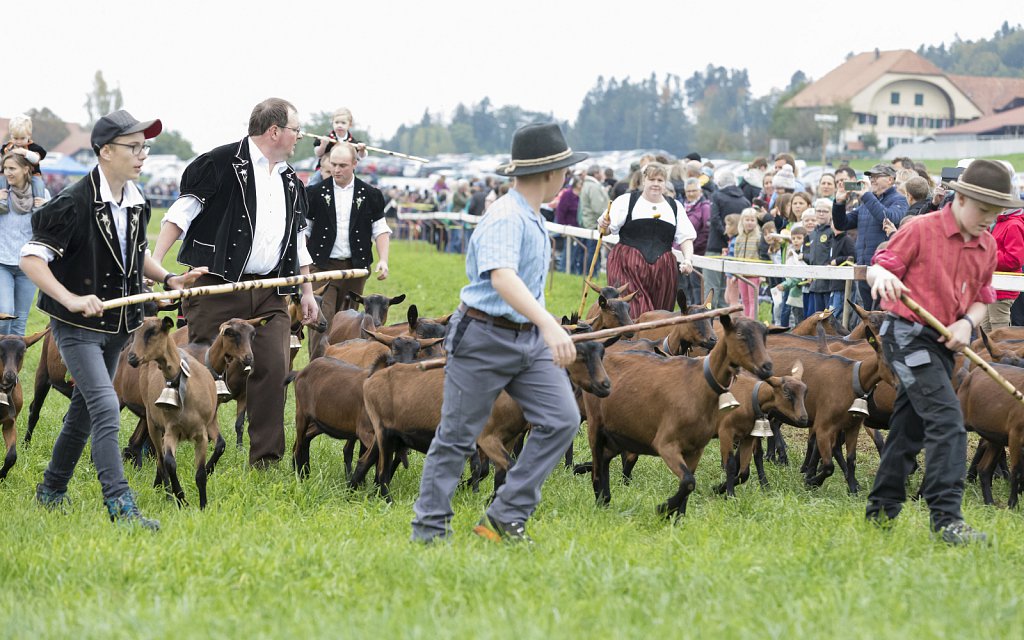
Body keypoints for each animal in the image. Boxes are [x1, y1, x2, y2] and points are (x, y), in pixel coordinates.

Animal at [0, 329, 49, 479]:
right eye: (0, 350)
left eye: (23, 351)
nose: (10, 376)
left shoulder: (10, 422)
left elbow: (12, 456)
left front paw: (2, 476)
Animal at [126, 317, 223, 505]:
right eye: (134, 333)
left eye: (152, 331)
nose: (132, 358)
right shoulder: (172, 430)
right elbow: (169, 463)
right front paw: (181, 499)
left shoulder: (202, 434)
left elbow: (200, 474)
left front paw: (203, 505)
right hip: (153, 424)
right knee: (160, 460)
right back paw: (166, 493)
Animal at [581, 315, 770, 520]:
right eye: (740, 334)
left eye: (764, 335)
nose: (767, 367)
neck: (699, 384)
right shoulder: (666, 444)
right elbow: (688, 481)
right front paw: (663, 508)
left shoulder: (695, 449)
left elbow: (689, 484)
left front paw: (677, 516)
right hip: (596, 426)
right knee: (597, 468)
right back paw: (600, 500)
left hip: (619, 433)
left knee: (605, 458)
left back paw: (604, 498)